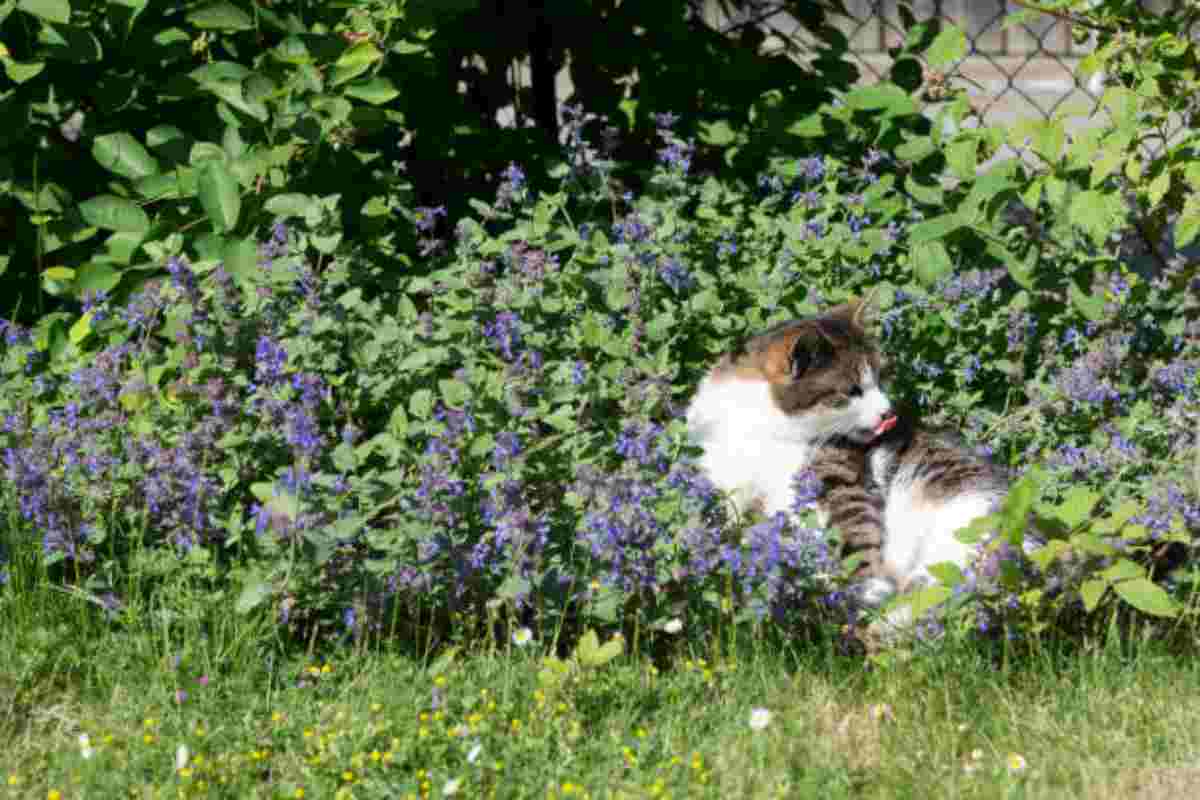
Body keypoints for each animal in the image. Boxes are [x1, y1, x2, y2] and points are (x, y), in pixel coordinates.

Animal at [681, 299, 1008, 614]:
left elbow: (854, 528)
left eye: (880, 378)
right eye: (852, 391)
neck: (763, 426)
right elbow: (712, 514)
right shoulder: (719, 469)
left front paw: (867, 587)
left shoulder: (840, 479)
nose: (888, 412)